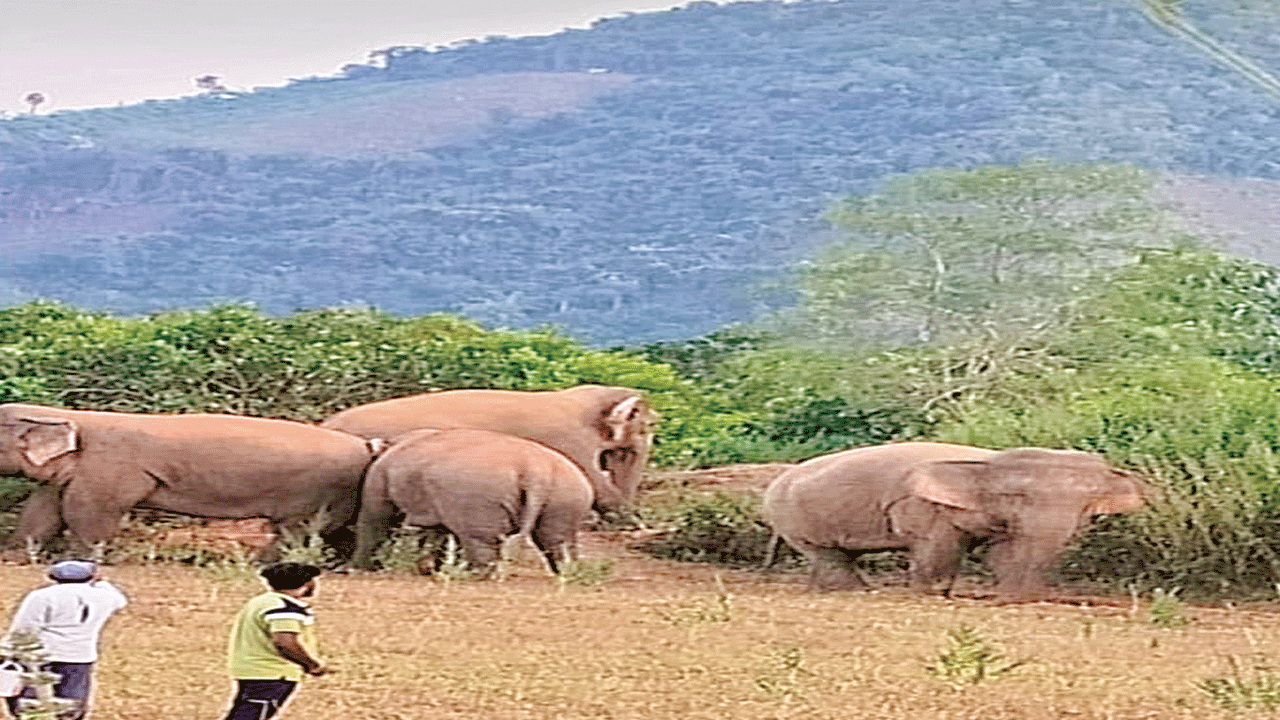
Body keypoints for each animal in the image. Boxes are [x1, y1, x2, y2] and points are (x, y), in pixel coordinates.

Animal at [0, 399, 378, 550]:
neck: (69, 416)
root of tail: (365, 446)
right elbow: (42, 512)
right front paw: (17, 555)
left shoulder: (111, 467)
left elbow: (88, 513)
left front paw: (81, 559)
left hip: (320, 492)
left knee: (300, 531)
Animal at [353, 427, 596, 573]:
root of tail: (535, 468)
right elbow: (438, 531)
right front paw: (431, 569)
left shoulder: (378, 476)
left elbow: (375, 519)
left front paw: (358, 569)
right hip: (566, 495)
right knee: (556, 538)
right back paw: (566, 573)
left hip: (478, 494)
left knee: (479, 539)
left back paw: (474, 574)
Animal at [757, 438, 1152, 599]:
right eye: (1016, 497)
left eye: (1087, 503)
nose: (1026, 594)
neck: (988, 459)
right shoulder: (923, 507)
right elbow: (938, 550)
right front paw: (932, 593)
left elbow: (1002, 552)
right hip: (791, 515)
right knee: (828, 555)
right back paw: (858, 592)